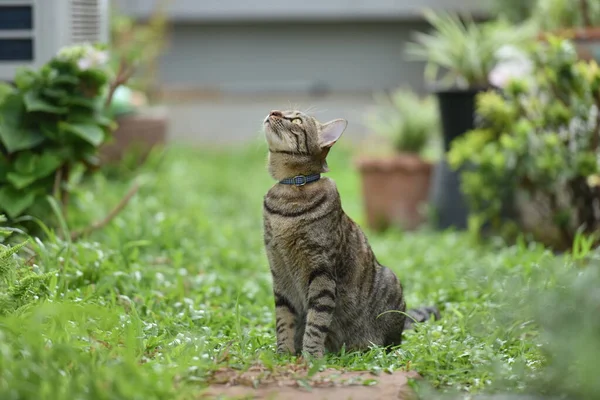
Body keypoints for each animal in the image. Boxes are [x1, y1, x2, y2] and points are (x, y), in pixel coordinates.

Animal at [262, 110, 436, 360]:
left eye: (295, 120)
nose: (273, 112)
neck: (291, 191)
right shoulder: (279, 273)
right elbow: (284, 321)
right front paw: (284, 354)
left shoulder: (322, 272)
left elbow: (316, 322)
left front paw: (311, 358)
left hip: (391, 283)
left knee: (392, 343)